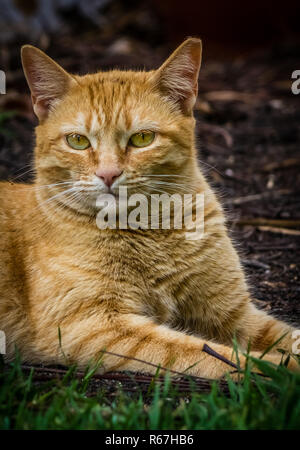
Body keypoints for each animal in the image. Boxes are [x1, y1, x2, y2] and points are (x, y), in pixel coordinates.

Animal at [0, 38, 298, 378]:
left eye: (142, 138)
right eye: (78, 141)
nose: (108, 174)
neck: (150, 230)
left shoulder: (235, 313)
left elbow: (285, 336)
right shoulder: (90, 327)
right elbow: (214, 354)